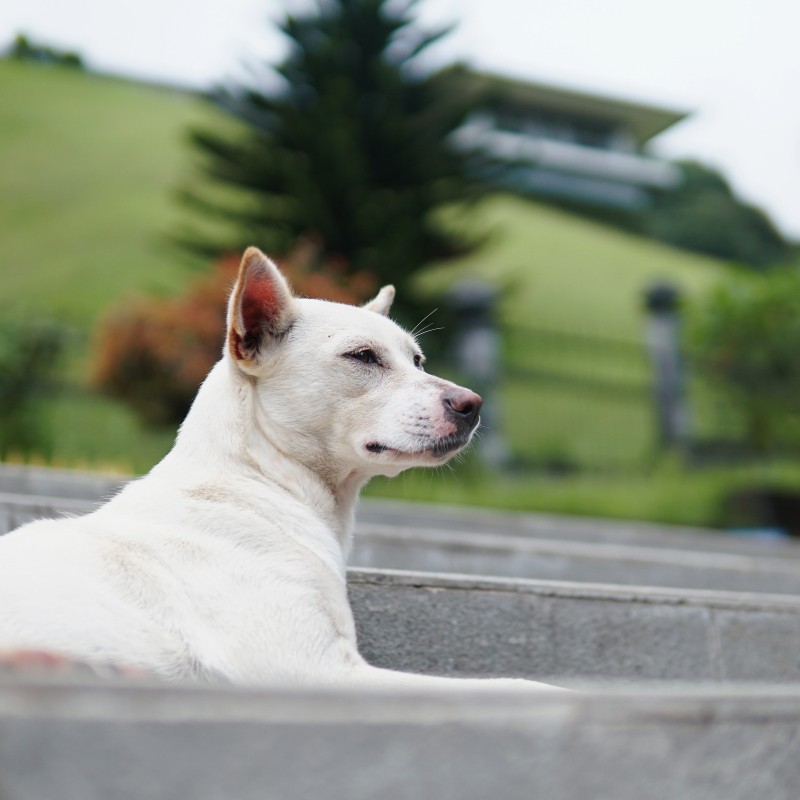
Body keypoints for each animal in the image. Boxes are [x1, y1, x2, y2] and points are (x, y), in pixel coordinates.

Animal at [0, 247, 560, 692]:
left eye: (418, 361)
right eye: (364, 356)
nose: (473, 405)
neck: (262, 482)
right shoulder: (314, 669)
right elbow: (517, 686)